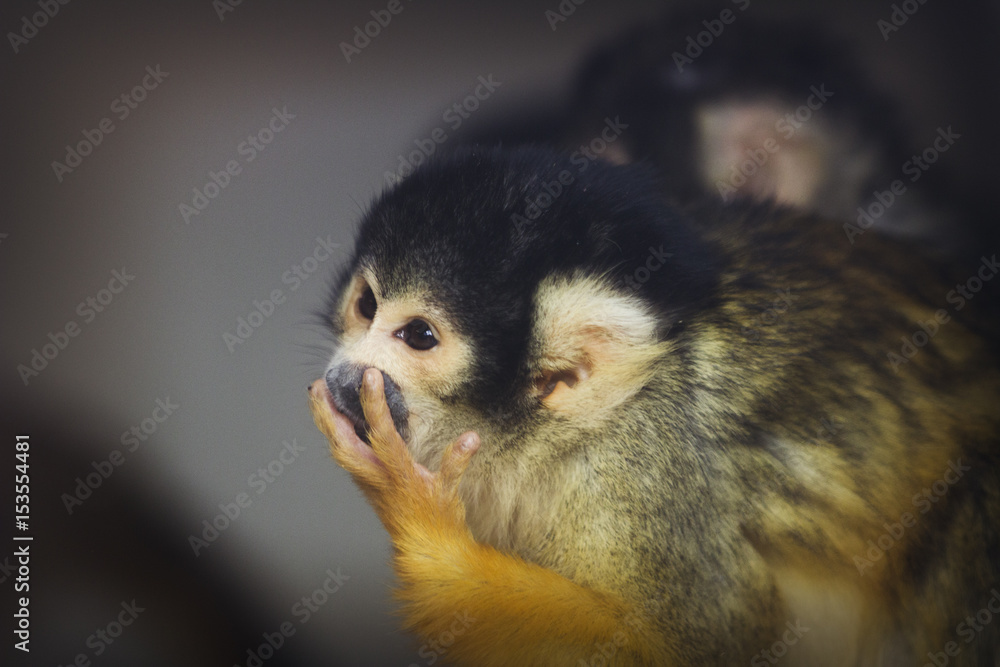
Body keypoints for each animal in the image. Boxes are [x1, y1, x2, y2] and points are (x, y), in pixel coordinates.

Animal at [308, 145, 1000, 665]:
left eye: (418, 336)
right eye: (367, 305)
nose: (344, 373)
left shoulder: (640, 479)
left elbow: (717, 639)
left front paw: (423, 525)